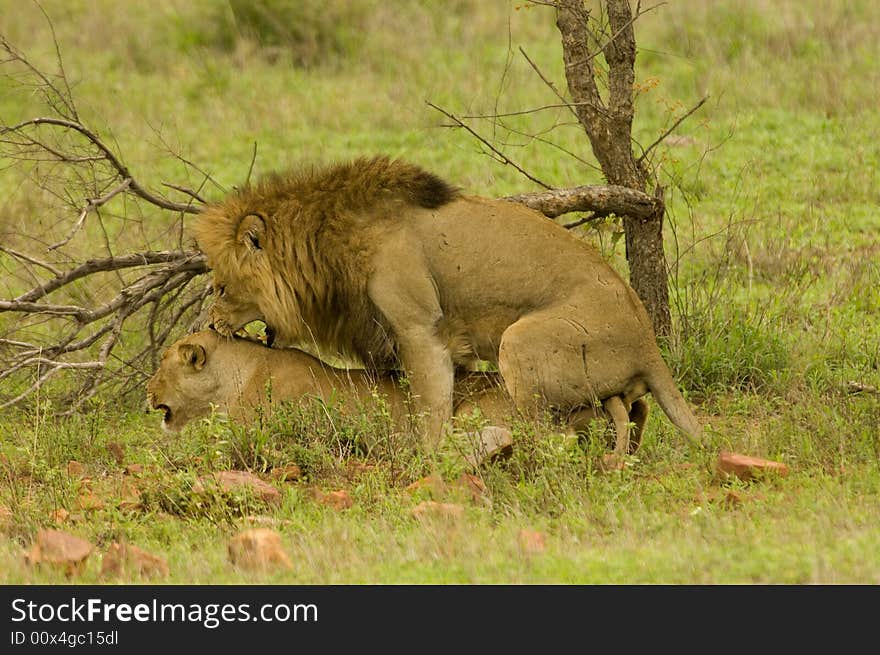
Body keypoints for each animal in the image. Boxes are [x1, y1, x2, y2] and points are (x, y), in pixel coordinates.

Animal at [194, 154, 700, 454]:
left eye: (220, 287)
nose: (212, 323)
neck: (329, 243)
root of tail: (649, 346)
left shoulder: (420, 329)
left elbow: (429, 407)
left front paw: (429, 457)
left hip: (519, 341)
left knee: (549, 435)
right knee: (627, 411)